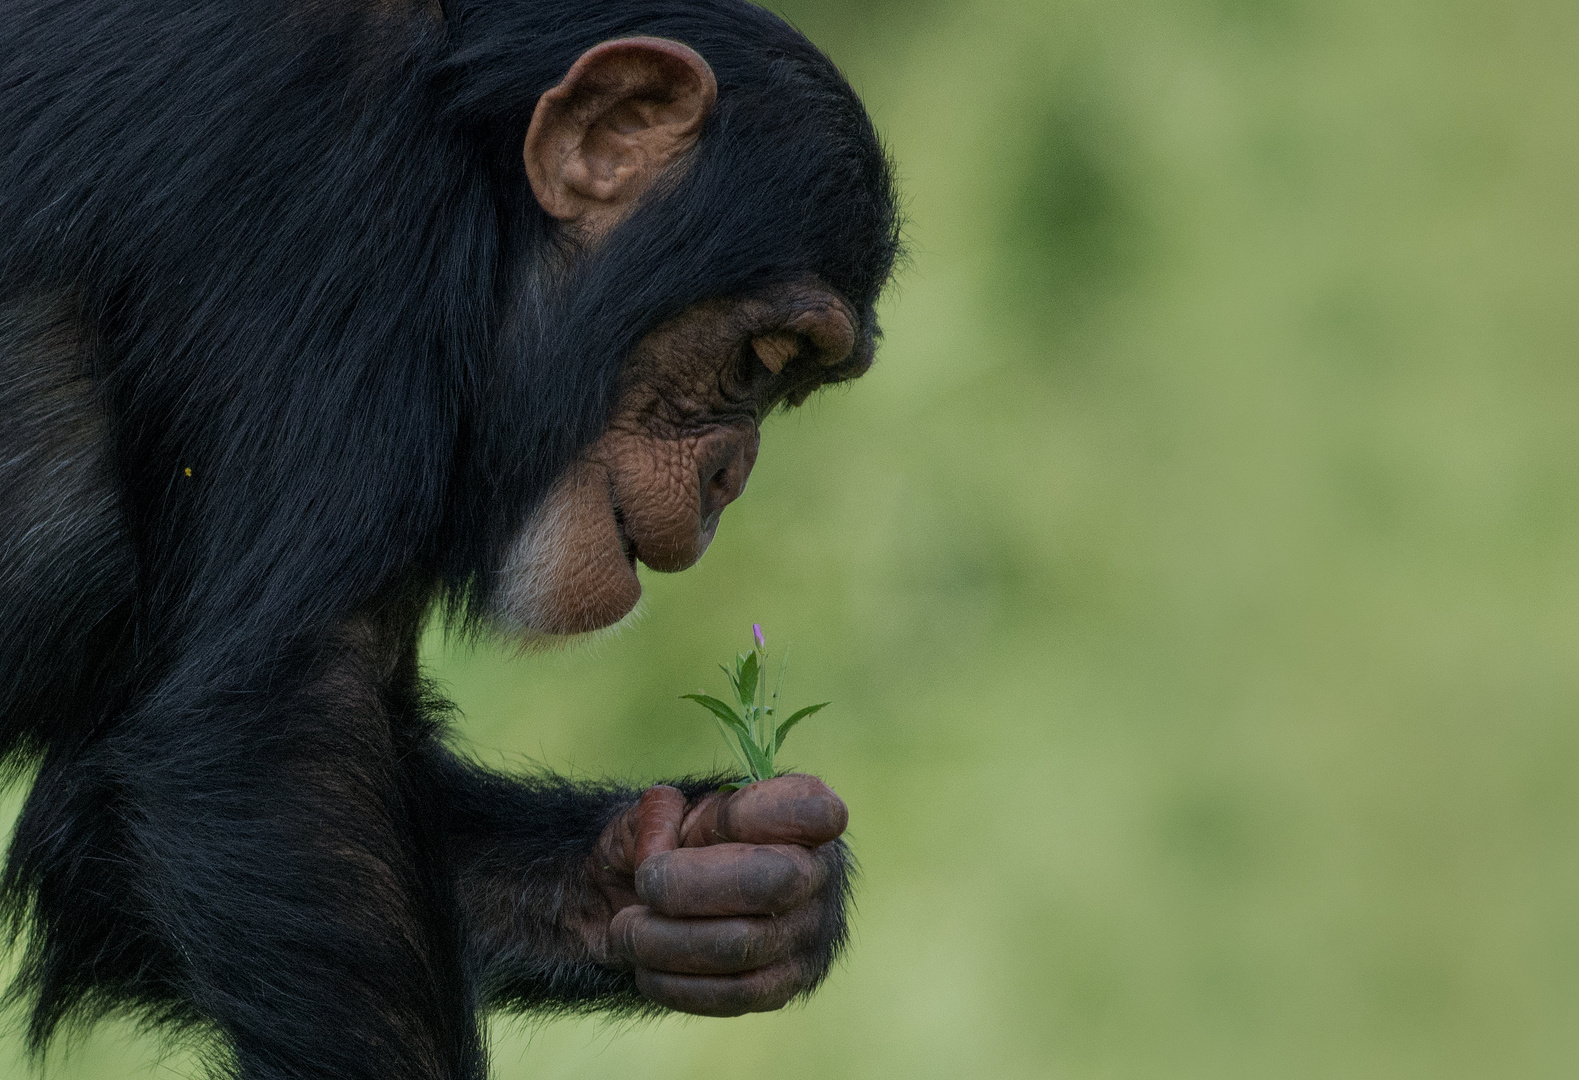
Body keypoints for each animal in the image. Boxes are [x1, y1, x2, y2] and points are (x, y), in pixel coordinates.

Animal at [0, 0, 903, 1073]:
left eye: (792, 383)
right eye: (760, 359)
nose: (732, 473)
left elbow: (98, 831)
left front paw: (714, 878)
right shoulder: (337, 192)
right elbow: (285, 732)